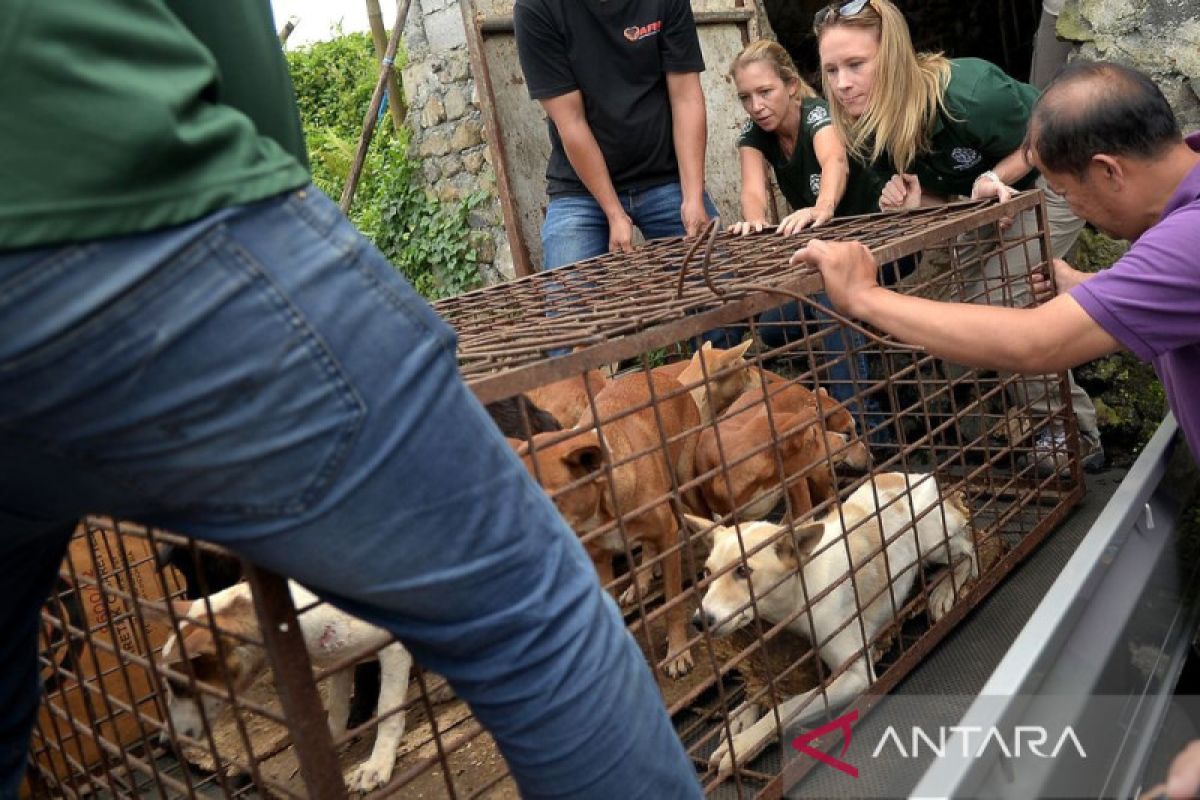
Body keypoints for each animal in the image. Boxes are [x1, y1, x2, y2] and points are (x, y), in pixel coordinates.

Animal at [159, 582, 412, 796]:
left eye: (178, 686)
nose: (163, 742)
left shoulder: (394, 649)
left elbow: (388, 712)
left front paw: (377, 764)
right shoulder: (341, 663)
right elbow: (336, 710)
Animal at [518, 371, 700, 681]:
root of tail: (663, 374)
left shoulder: (667, 535)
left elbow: (673, 604)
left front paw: (678, 653)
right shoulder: (600, 562)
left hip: (684, 479)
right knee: (647, 549)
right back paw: (640, 582)